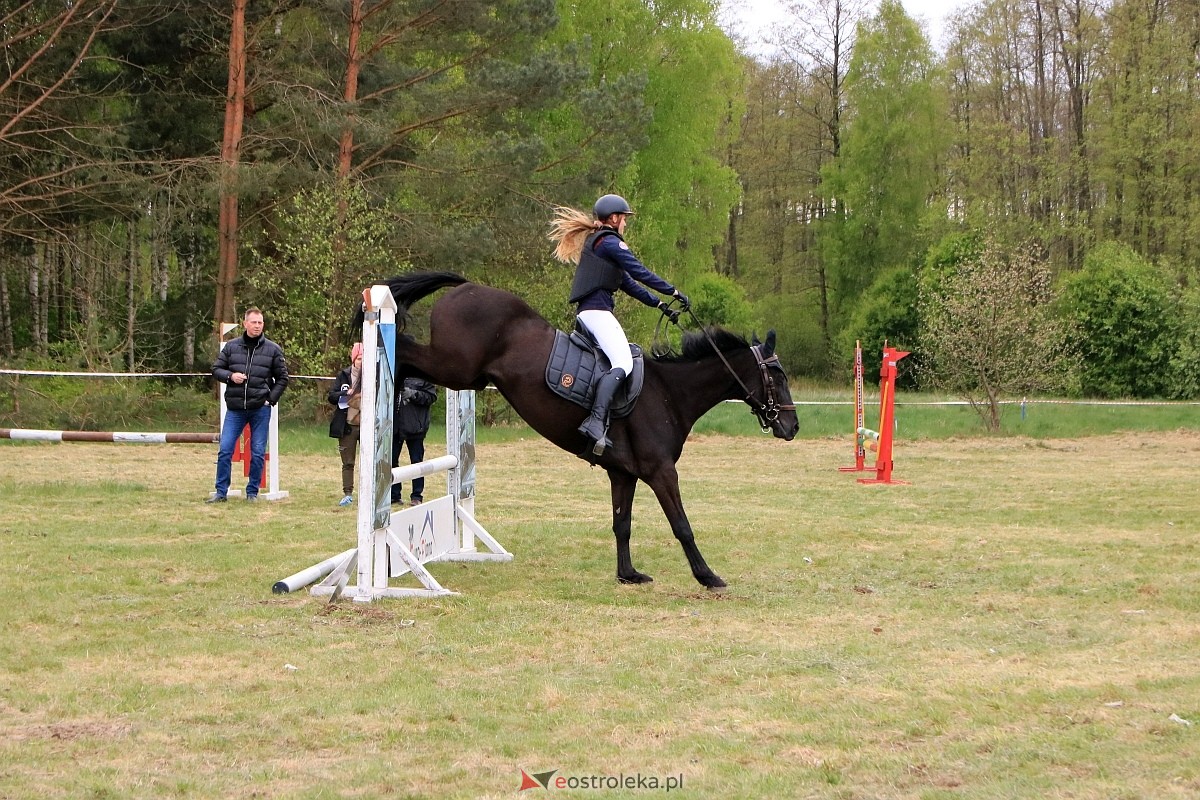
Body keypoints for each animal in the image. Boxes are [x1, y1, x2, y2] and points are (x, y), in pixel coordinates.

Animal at [369, 272, 796, 592]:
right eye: (777, 376)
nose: (791, 426)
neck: (670, 393)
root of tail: (465, 287)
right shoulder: (661, 472)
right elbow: (682, 526)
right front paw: (707, 576)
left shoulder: (623, 474)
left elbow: (622, 524)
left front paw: (628, 575)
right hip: (455, 367)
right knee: (404, 351)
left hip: (466, 377)